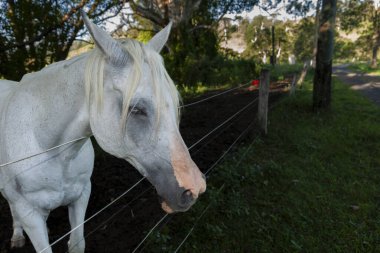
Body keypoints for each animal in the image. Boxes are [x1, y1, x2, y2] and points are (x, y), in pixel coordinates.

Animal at [0, 12, 205, 253]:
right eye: (136, 109)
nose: (194, 188)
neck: (51, 149)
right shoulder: (30, 214)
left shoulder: (81, 196)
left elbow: (77, 243)